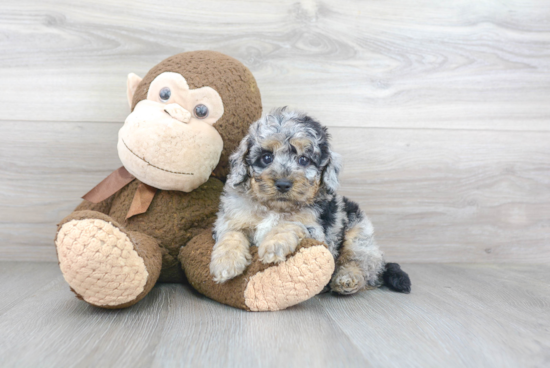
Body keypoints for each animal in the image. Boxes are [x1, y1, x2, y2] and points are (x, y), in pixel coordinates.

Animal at [209, 108, 412, 294]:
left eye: (304, 160)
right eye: (266, 157)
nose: (283, 184)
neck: (275, 208)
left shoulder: (316, 231)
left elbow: (291, 224)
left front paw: (273, 244)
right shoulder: (230, 219)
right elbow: (231, 234)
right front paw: (226, 263)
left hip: (360, 238)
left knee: (362, 265)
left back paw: (347, 280)